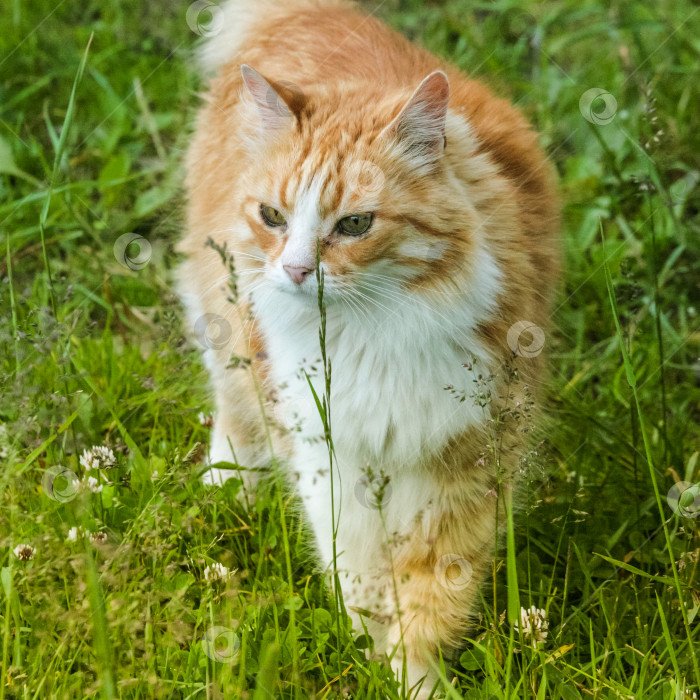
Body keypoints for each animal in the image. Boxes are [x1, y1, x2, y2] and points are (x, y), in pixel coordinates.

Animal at [178, 1, 560, 696]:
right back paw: (227, 487)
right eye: (273, 217)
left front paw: (414, 676)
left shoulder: (465, 462)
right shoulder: (329, 458)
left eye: (355, 225)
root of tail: (323, 14)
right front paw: (371, 650)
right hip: (224, 317)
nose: (296, 270)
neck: (370, 335)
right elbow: (358, 576)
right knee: (233, 405)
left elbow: (430, 594)